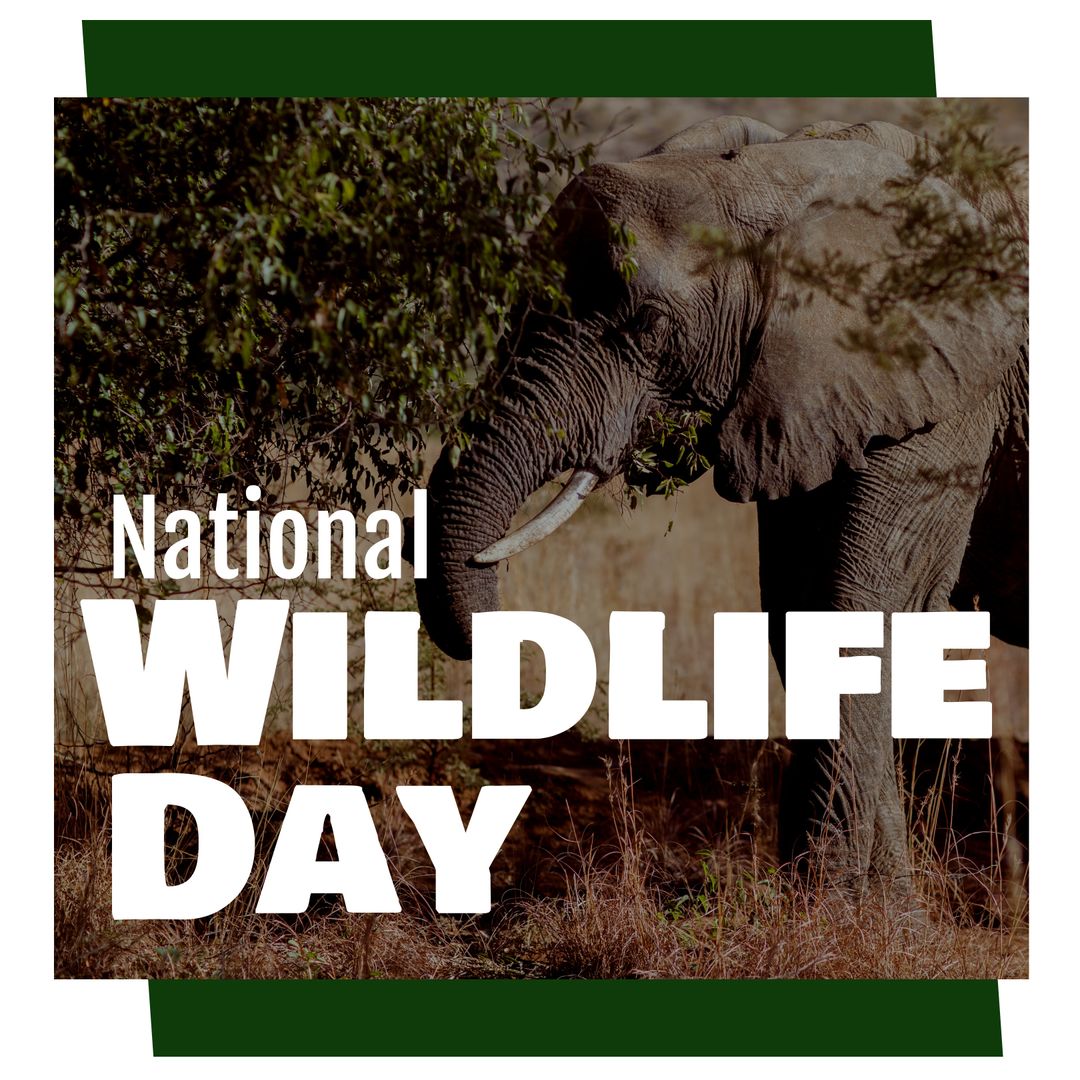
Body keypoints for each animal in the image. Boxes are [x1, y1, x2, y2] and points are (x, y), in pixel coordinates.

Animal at [412, 116, 1029, 904]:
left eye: (646, 326)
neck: (779, 172)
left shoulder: (952, 394)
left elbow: (866, 602)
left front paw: (857, 913)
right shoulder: (804, 394)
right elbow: (799, 608)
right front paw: (842, 907)